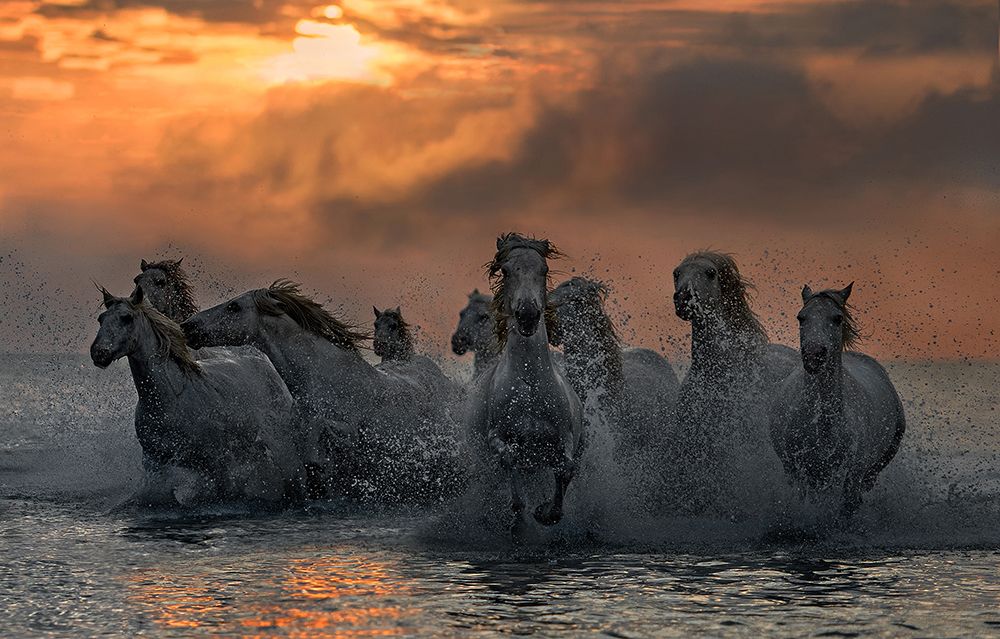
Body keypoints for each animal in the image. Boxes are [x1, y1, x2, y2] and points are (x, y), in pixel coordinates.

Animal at [89, 286, 304, 507]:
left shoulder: (216, 464)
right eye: (101, 319)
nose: (99, 353)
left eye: (127, 318)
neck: (170, 398)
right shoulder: (155, 463)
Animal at [465, 233, 584, 541]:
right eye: (506, 271)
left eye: (544, 269)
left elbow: (566, 469)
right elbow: (510, 460)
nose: (527, 315)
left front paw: (546, 512)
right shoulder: (497, 437)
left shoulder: (563, 437)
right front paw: (520, 522)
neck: (530, 383)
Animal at [769, 283, 905, 519]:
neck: (823, 426)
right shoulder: (799, 473)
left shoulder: (852, 478)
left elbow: (846, 509)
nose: (814, 355)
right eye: (801, 317)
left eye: (837, 318)